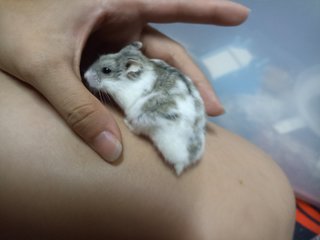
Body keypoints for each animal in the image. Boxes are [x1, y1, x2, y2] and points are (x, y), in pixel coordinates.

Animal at [84, 41, 206, 174]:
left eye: (106, 70)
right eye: (101, 57)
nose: (85, 75)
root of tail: (185, 159)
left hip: (141, 117)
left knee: (137, 130)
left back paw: (126, 122)